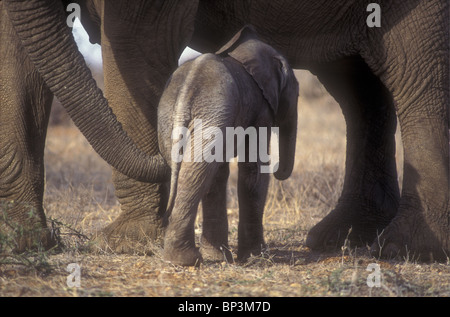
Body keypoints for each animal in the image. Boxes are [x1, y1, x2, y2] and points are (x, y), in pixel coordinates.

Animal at [158, 25, 298, 266]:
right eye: (297, 93)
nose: (280, 173)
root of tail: (186, 89)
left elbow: (220, 172)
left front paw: (224, 256)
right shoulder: (261, 108)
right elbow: (253, 169)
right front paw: (256, 256)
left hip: (174, 117)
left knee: (198, 169)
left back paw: (183, 258)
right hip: (210, 113)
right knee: (198, 171)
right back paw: (186, 260)